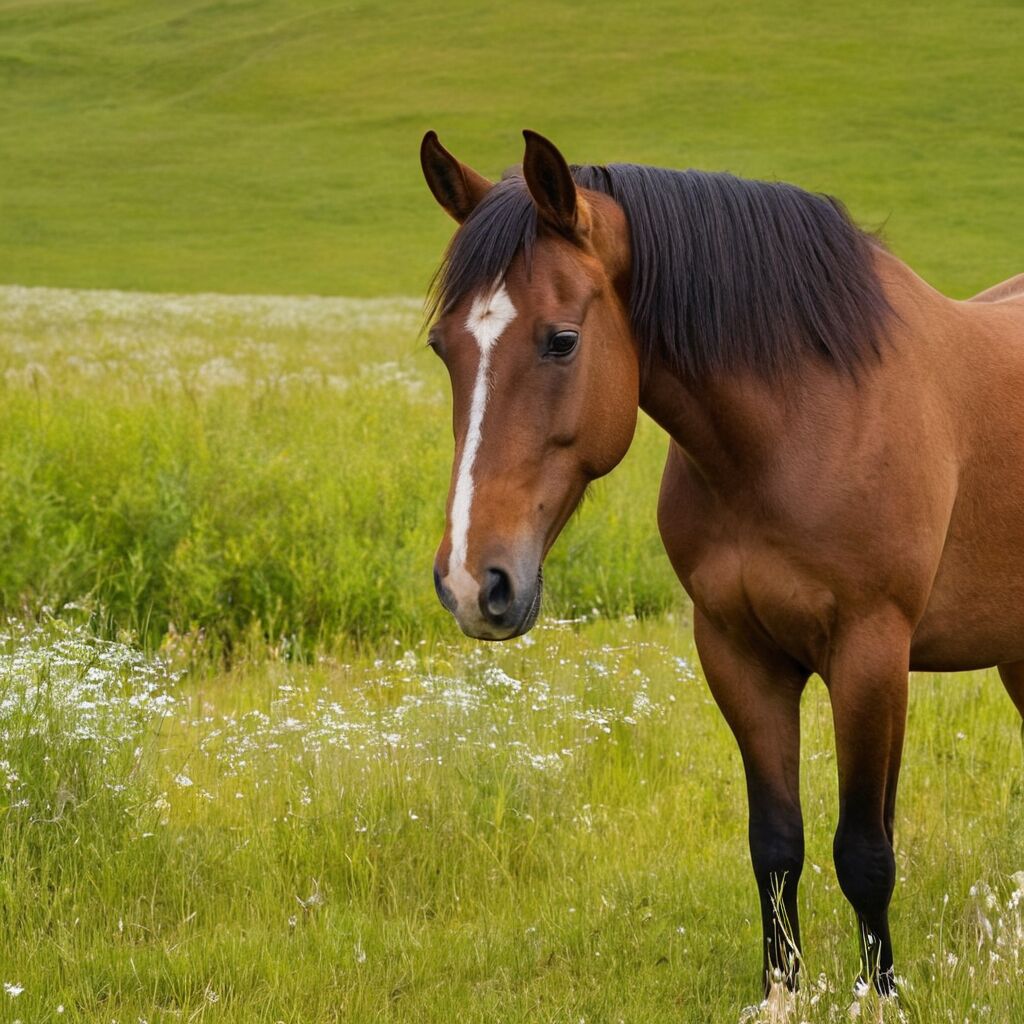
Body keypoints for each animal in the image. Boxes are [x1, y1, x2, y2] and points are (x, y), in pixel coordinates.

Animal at [417, 130, 1024, 999]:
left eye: (561, 339)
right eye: (444, 347)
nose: (474, 582)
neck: (803, 422)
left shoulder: (871, 654)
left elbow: (864, 851)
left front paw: (878, 999)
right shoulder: (737, 652)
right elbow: (775, 844)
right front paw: (783, 998)